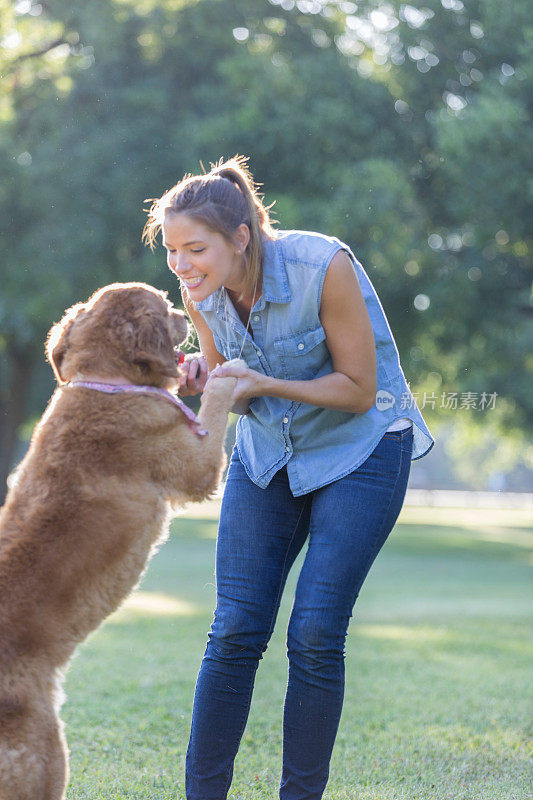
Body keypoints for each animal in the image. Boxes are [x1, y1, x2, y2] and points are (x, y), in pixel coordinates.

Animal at [0, 282, 237, 800]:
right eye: (165, 306)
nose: (184, 313)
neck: (104, 380)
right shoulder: (196, 467)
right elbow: (214, 407)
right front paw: (226, 377)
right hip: (48, 751)